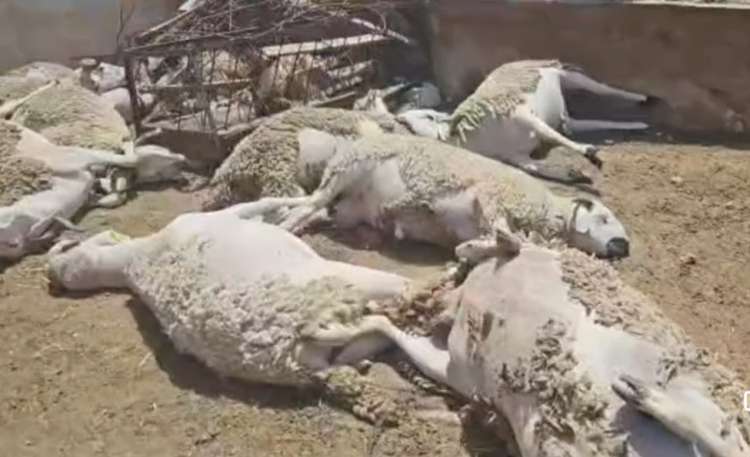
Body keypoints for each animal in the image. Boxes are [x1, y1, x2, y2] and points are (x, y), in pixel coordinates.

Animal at [252, 130, 631, 259]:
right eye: (603, 217)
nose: (622, 248)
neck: (546, 212)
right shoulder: (491, 197)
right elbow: (508, 235)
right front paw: (495, 242)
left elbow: (495, 244)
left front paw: (475, 249)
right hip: (348, 169)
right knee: (308, 205)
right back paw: (282, 231)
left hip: (346, 206)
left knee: (314, 211)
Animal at [362, 235, 750, 457]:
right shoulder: (458, 371)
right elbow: (403, 336)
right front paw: (372, 316)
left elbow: (503, 242)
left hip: (708, 397)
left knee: (727, 441)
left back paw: (646, 395)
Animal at [393, 60, 650, 185]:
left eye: (428, 115)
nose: (399, 118)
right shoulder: (517, 157)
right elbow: (536, 169)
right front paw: (574, 174)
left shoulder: (524, 115)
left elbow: (555, 137)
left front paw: (590, 153)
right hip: (563, 109)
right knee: (583, 122)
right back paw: (639, 124)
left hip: (563, 75)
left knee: (601, 87)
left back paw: (642, 98)